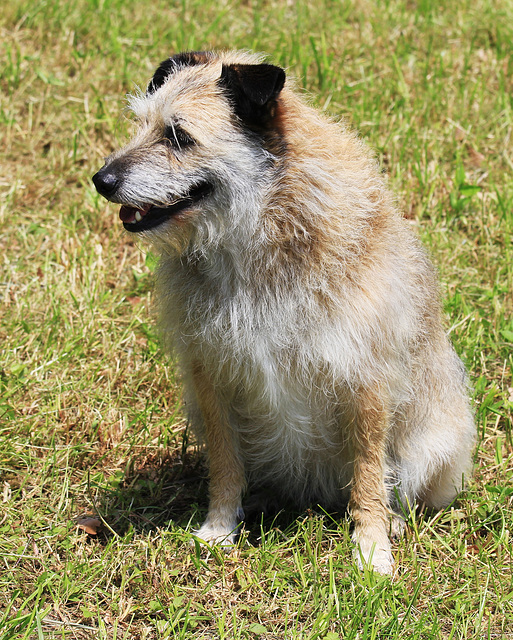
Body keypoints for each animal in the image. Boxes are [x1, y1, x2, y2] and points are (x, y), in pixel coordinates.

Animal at [91, 50, 472, 576]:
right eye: (142, 124)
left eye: (179, 136)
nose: (101, 180)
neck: (255, 228)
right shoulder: (212, 376)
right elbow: (225, 464)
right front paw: (219, 527)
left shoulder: (365, 382)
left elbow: (370, 473)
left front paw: (371, 547)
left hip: (433, 446)